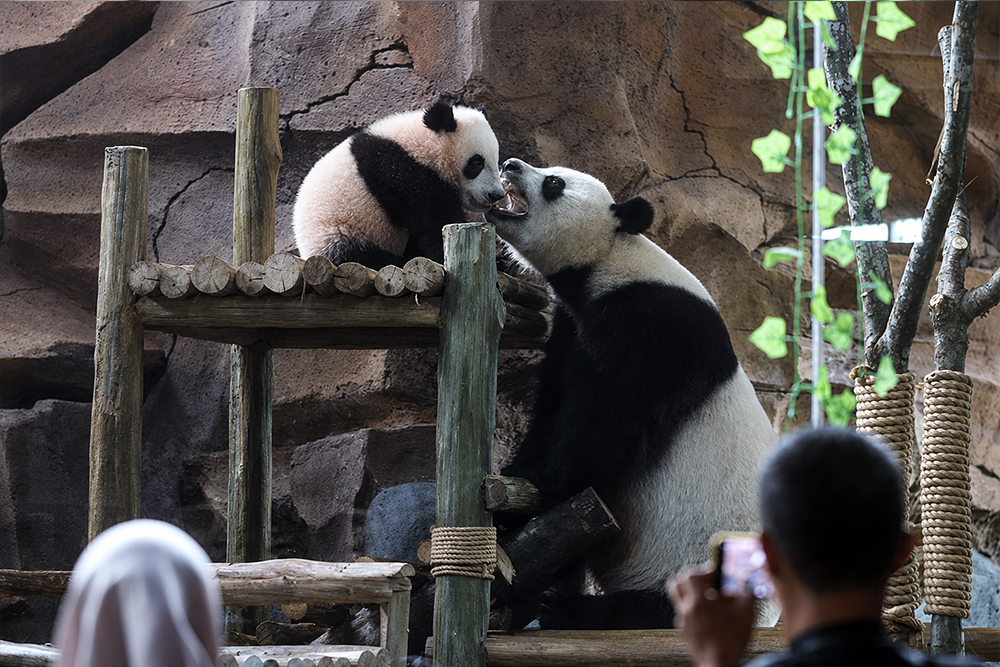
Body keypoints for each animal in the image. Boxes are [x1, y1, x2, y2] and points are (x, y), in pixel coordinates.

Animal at [293, 100, 505, 268]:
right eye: (477, 163)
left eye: (496, 160)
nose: (496, 195)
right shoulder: (397, 170)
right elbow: (434, 220)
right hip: (339, 234)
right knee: (363, 256)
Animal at [485, 158, 779, 629]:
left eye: (554, 183)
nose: (510, 164)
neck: (613, 261)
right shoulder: (571, 328)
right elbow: (552, 405)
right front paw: (517, 479)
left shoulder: (651, 328)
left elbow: (601, 427)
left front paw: (541, 486)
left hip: (700, 558)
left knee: (666, 606)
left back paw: (569, 609)